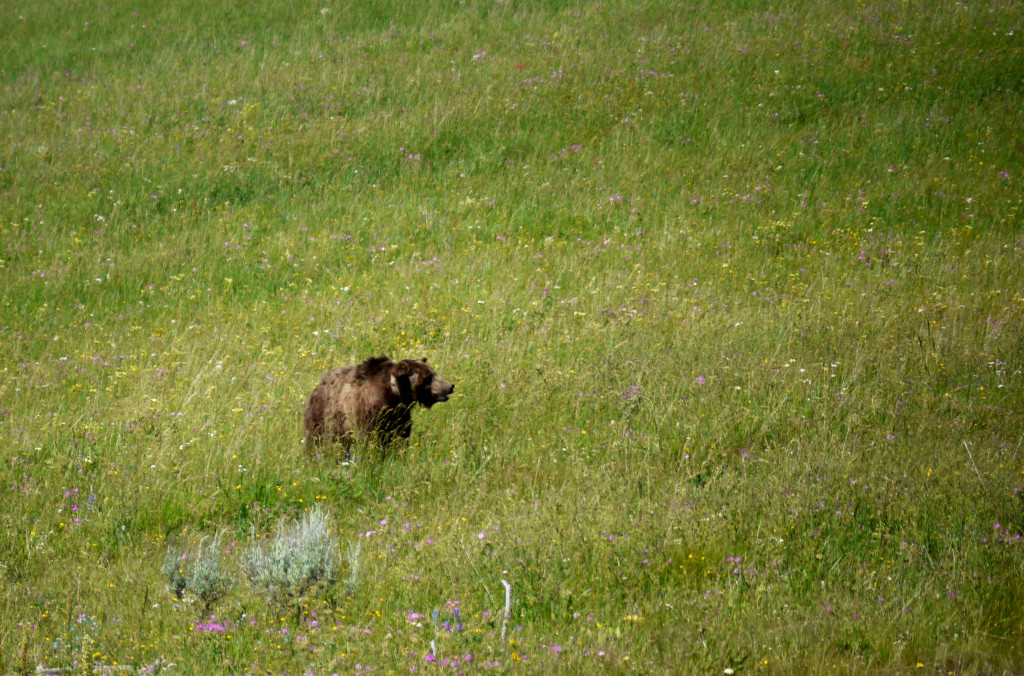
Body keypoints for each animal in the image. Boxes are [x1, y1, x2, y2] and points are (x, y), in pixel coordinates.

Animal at [303, 356, 455, 455]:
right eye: (428, 377)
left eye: (434, 373)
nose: (450, 386)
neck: (395, 396)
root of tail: (318, 385)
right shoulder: (367, 413)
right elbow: (369, 438)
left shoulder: (400, 416)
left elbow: (400, 436)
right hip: (324, 416)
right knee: (317, 438)